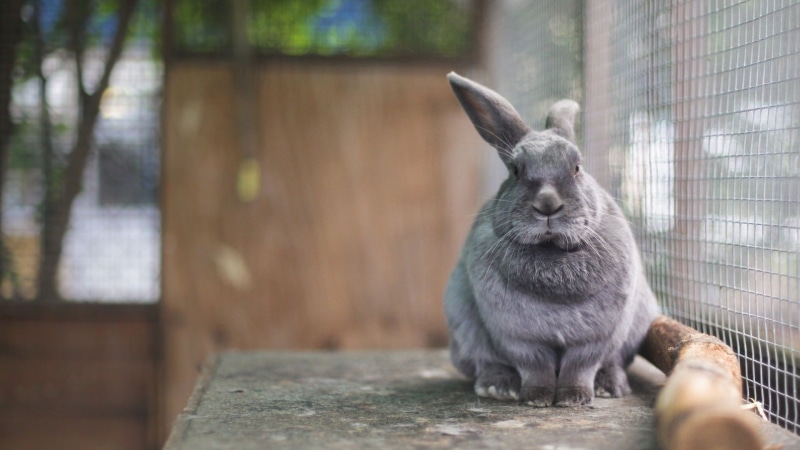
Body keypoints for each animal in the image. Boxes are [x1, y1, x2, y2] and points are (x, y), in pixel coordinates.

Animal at [444, 72, 659, 407]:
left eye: (577, 167)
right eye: (516, 170)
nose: (547, 204)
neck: (551, 251)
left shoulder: (595, 338)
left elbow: (580, 367)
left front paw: (573, 398)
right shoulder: (518, 337)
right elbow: (536, 367)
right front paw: (537, 398)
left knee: (613, 362)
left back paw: (610, 386)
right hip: (463, 328)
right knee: (485, 361)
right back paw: (498, 387)